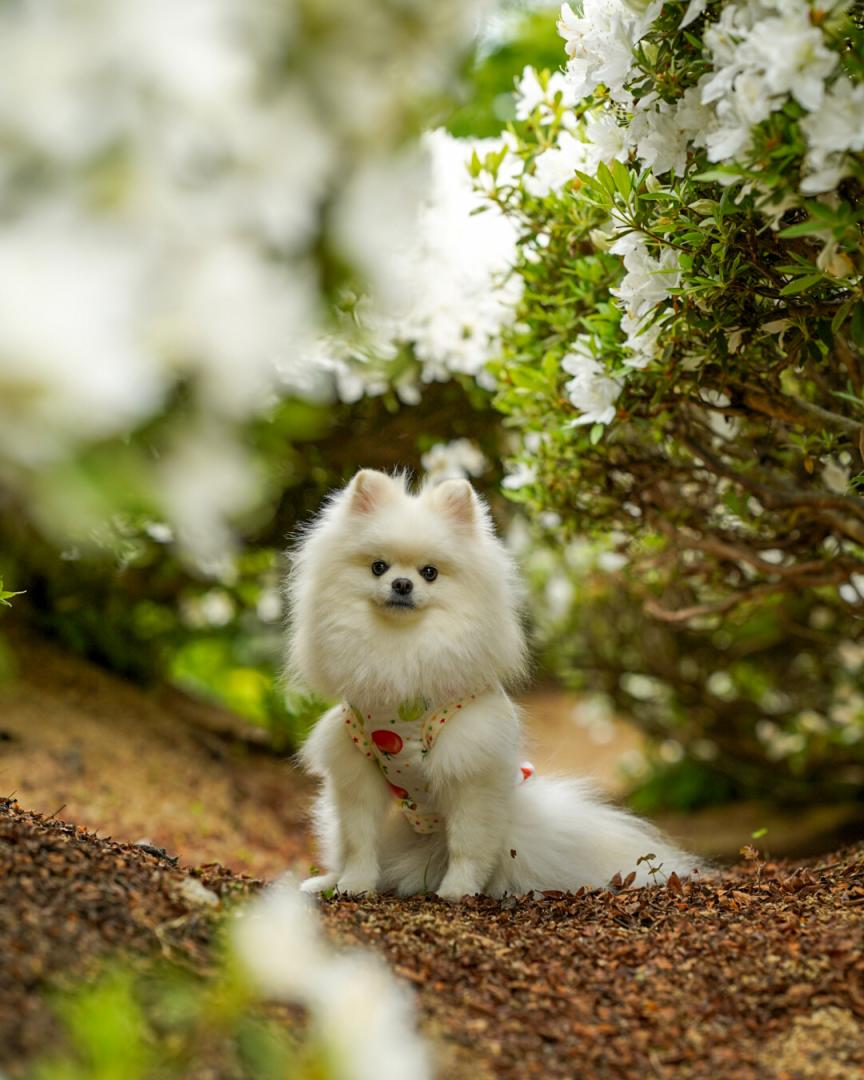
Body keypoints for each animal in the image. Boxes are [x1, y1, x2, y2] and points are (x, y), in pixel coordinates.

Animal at [287, 468, 699, 898]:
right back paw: (326, 881)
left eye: (430, 572)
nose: (402, 584)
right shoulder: (357, 768)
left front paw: (457, 890)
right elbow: (359, 839)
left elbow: (468, 844)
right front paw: (355, 884)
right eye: (378, 567)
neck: (403, 646)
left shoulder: (469, 770)